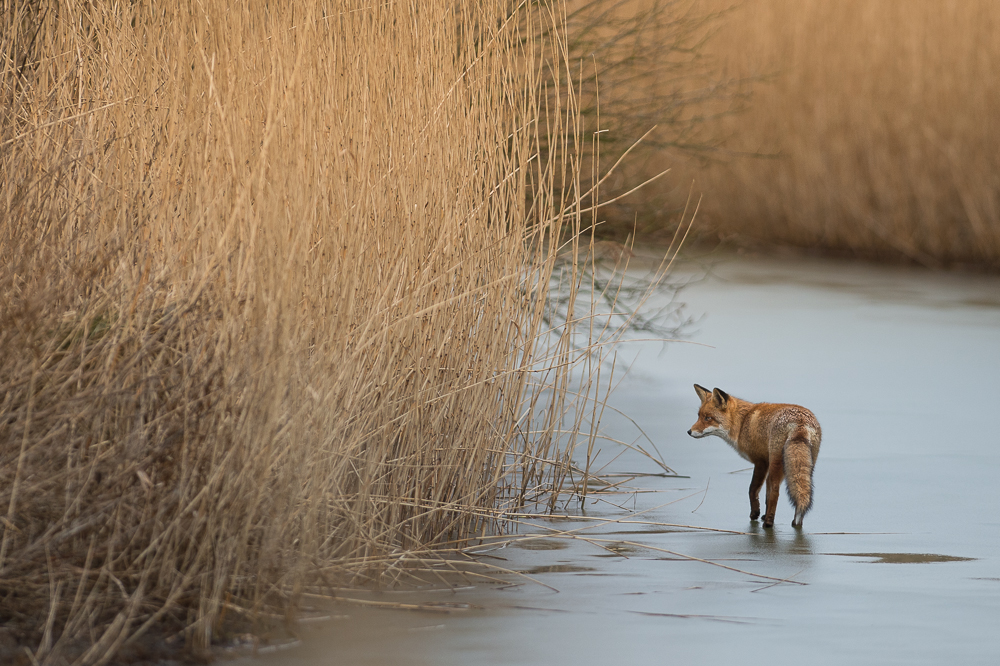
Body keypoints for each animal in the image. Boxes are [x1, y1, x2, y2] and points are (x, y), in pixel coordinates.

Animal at [688, 382, 820, 528]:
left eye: (708, 418)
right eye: (699, 416)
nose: (689, 431)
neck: (742, 423)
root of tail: (801, 421)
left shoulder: (761, 461)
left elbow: (753, 490)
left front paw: (755, 514)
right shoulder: (767, 463)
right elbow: (766, 495)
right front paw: (762, 515)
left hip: (776, 465)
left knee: (775, 491)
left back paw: (768, 523)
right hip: (804, 465)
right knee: (801, 491)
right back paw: (796, 522)